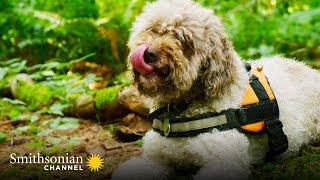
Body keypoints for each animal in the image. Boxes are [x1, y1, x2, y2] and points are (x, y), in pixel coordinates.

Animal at [111, 0, 318, 179]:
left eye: (183, 39)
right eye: (153, 30)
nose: (149, 54)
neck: (182, 108)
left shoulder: (223, 161)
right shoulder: (156, 157)